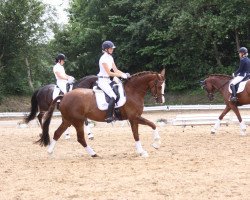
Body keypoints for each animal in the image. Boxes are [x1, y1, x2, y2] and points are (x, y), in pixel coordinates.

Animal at [38, 69, 166, 157]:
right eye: (160, 86)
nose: (161, 101)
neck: (132, 92)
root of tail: (64, 96)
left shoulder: (135, 118)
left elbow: (149, 127)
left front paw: (151, 146)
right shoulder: (134, 117)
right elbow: (141, 131)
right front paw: (147, 148)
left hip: (68, 120)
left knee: (57, 133)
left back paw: (50, 151)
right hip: (77, 121)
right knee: (80, 138)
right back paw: (93, 153)